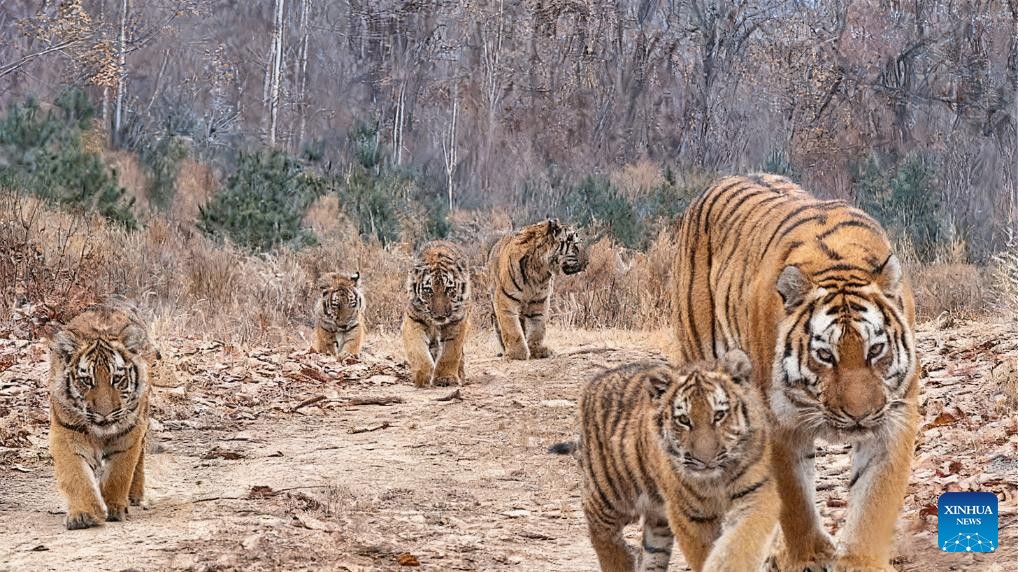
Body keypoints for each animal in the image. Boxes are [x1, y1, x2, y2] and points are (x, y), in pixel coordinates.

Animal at [47, 304, 155, 530]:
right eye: (87, 380)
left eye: (117, 378)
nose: (104, 414)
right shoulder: (66, 434)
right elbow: (76, 475)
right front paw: (83, 515)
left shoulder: (129, 433)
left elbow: (119, 473)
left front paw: (114, 508)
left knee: (139, 459)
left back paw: (135, 497)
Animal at [401, 241, 471, 387]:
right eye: (428, 290)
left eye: (449, 289)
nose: (440, 316)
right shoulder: (413, 320)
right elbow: (418, 350)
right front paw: (423, 376)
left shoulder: (457, 321)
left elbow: (450, 352)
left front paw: (446, 378)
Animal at [487, 218, 586, 360]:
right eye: (575, 245)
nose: (587, 262)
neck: (539, 269)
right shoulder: (505, 299)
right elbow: (511, 327)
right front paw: (517, 353)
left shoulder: (539, 300)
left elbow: (537, 327)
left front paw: (536, 350)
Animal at [550, 350, 777, 572]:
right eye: (684, 420)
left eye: (719, 415)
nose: (705, 460)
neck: (716, 480)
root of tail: (596, 380)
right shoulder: (690, 516)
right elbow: (703, 553)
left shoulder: (755, 495)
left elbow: (741, 542)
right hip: (608, 494)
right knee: (601, 531)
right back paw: (619, 561)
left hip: (657, 519)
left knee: (651, 553)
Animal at [671, 173, 920, 571]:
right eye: (825, 355)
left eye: (875, 350)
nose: (859, 415)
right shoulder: (778, 424)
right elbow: (795, 499)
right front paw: (811, 556)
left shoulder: (894, 416)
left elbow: (875, 499)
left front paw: (861, 561)